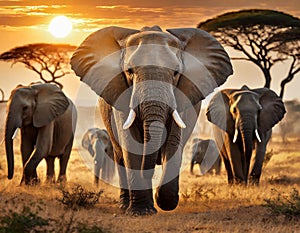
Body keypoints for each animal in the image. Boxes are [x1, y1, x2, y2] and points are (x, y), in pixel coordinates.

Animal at [70, 25, 232, 215]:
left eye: (176, 73)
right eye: (129, 71)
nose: (148, 171)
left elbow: (173, 143)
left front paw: (163, 201)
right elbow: (131, 145)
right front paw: (141, 212)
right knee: (120, 157)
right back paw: (124, 206)